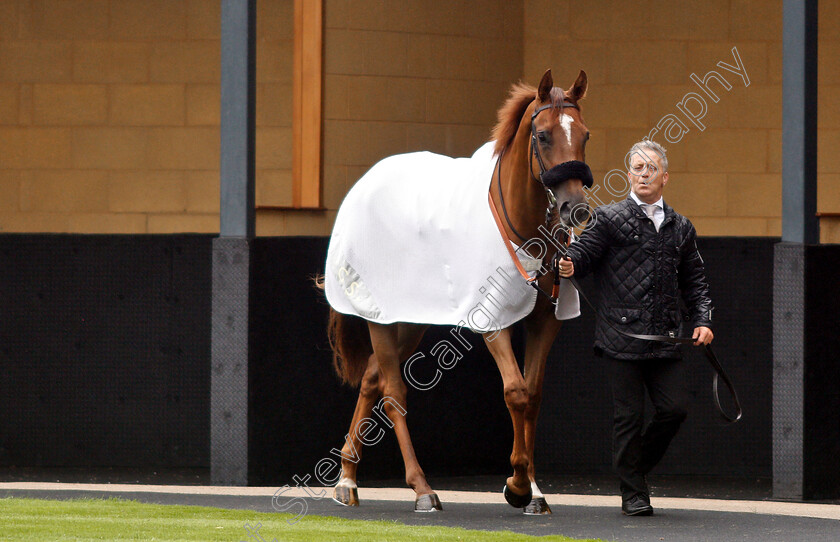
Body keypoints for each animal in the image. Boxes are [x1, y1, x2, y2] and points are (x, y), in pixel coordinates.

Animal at [316, 69, 592, 516]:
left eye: (584, 134)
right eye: (543, 135)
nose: (575, 208)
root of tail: (364, 183)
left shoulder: (544, 321)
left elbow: (533, 396)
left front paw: (534, 490)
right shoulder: (492, 319)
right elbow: (515, 392)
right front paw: (516, 484)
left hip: (411, 319)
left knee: (372, 378)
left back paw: (347, 478)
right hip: (381, 318)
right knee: (392, 392)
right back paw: (420, 488)